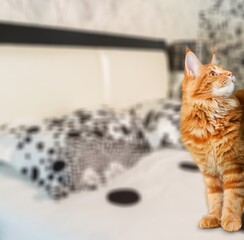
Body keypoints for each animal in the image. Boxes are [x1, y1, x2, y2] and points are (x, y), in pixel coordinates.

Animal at [180, 49, 244, 232]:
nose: (231, 73)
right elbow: (215, 197)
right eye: (213, 73)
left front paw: (230, 219)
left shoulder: (233, 165)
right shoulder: (209, 170)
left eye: (225, 69)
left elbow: (232, 197)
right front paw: (215, 217)